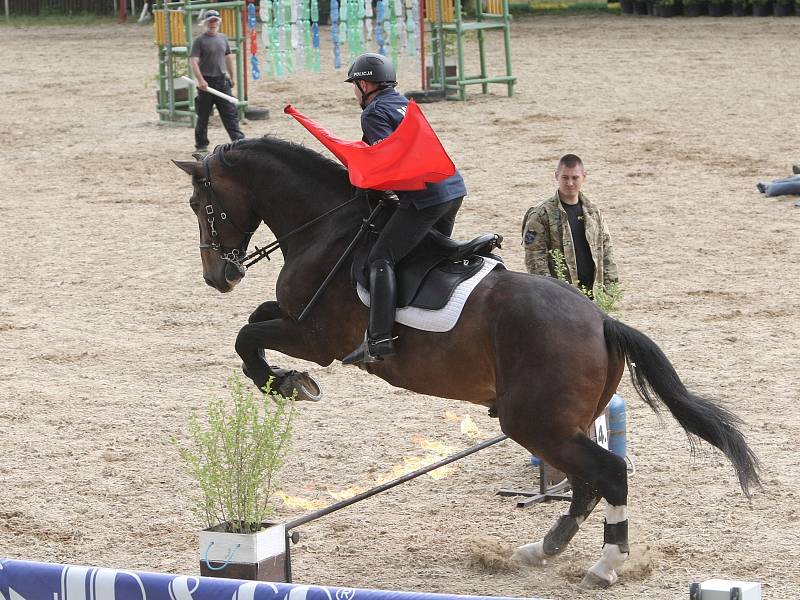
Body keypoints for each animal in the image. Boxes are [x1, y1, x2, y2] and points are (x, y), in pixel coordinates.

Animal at [172, 138, 760, 588]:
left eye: (203, 207)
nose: (218, 276)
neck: (327, 229)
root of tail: (601, 321)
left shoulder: (315, 337)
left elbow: (247, 336)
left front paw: (286, 383)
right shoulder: (296, 317)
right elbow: (254, 320)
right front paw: (284, 379)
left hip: (535, 422)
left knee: (606, 475)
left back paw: (603, 564)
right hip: (554, 423)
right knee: (585, 483)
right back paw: (542, 548)